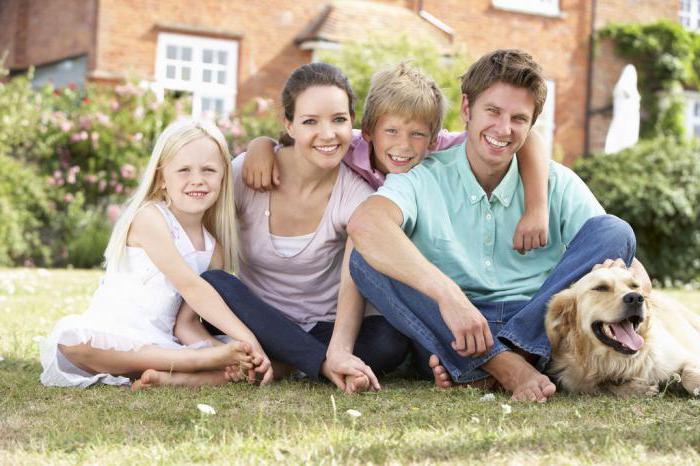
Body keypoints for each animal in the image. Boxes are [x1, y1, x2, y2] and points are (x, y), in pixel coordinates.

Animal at [548, 266, 700, 396]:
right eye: (601, 288)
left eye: (634, 286)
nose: (636, 298)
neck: (617, 361)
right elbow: (605, 386)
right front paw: (638, 388)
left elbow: (688, 376)